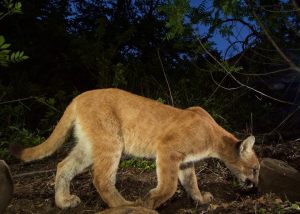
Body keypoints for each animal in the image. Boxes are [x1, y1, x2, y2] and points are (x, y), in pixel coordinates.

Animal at [11, 88, 260, 209]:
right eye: (256, 169)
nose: (255, 184)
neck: (215, 137)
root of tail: (77, 97)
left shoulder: (185, 161)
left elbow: (191, 182)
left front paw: (200, 199)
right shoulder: (168, 149)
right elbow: (169, 186)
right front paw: (149, 202)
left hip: (89, 145)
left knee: (63, 166)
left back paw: (64, 202)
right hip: (112, 141)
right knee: (101, 178)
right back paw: (124, 205)